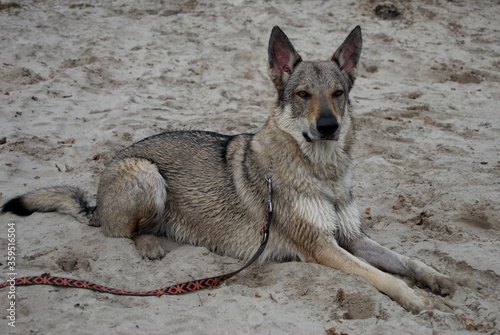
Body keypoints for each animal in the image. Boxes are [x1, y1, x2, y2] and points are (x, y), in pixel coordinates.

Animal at [0, 26, 454, 316]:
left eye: (338, 93)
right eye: (304, 94)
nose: (329, 126)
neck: (323, 172)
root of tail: (96, 199)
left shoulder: (351, 237)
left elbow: (405, 260)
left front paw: (436, 279)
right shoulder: (323, 247)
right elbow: (380, 277)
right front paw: (416, 300)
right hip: (147, 175)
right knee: (122, 232)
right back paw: (148, 245)